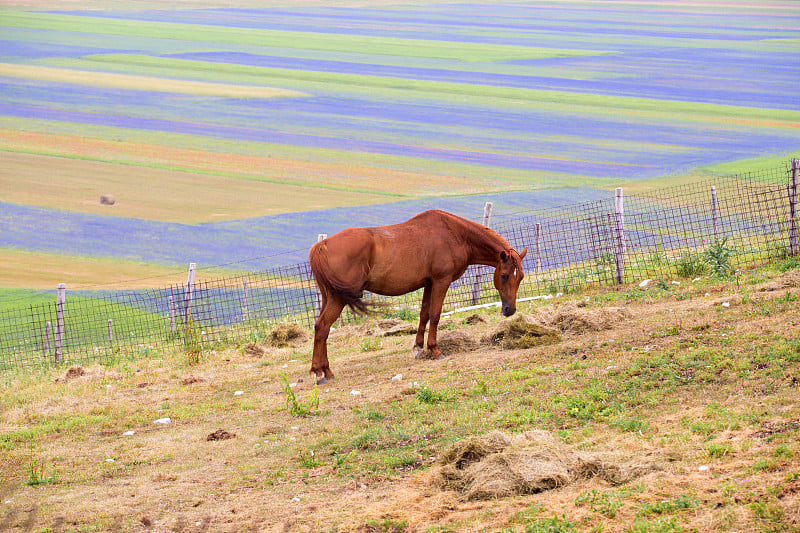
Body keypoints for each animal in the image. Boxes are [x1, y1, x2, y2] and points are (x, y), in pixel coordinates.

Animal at [310, 209, 528, 382]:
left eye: (521, 277)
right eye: (504, 275)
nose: (510, 310)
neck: (454, 234)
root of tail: (322, 246)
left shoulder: (429, 283)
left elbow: (424, 314)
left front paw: (419, 348)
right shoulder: (441, 281)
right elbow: (435, 314)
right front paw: (434, 350)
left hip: (329, 297)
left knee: (321, 329)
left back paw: (325, 370)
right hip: (337, 299)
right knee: (322, 328)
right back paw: (320, 374)